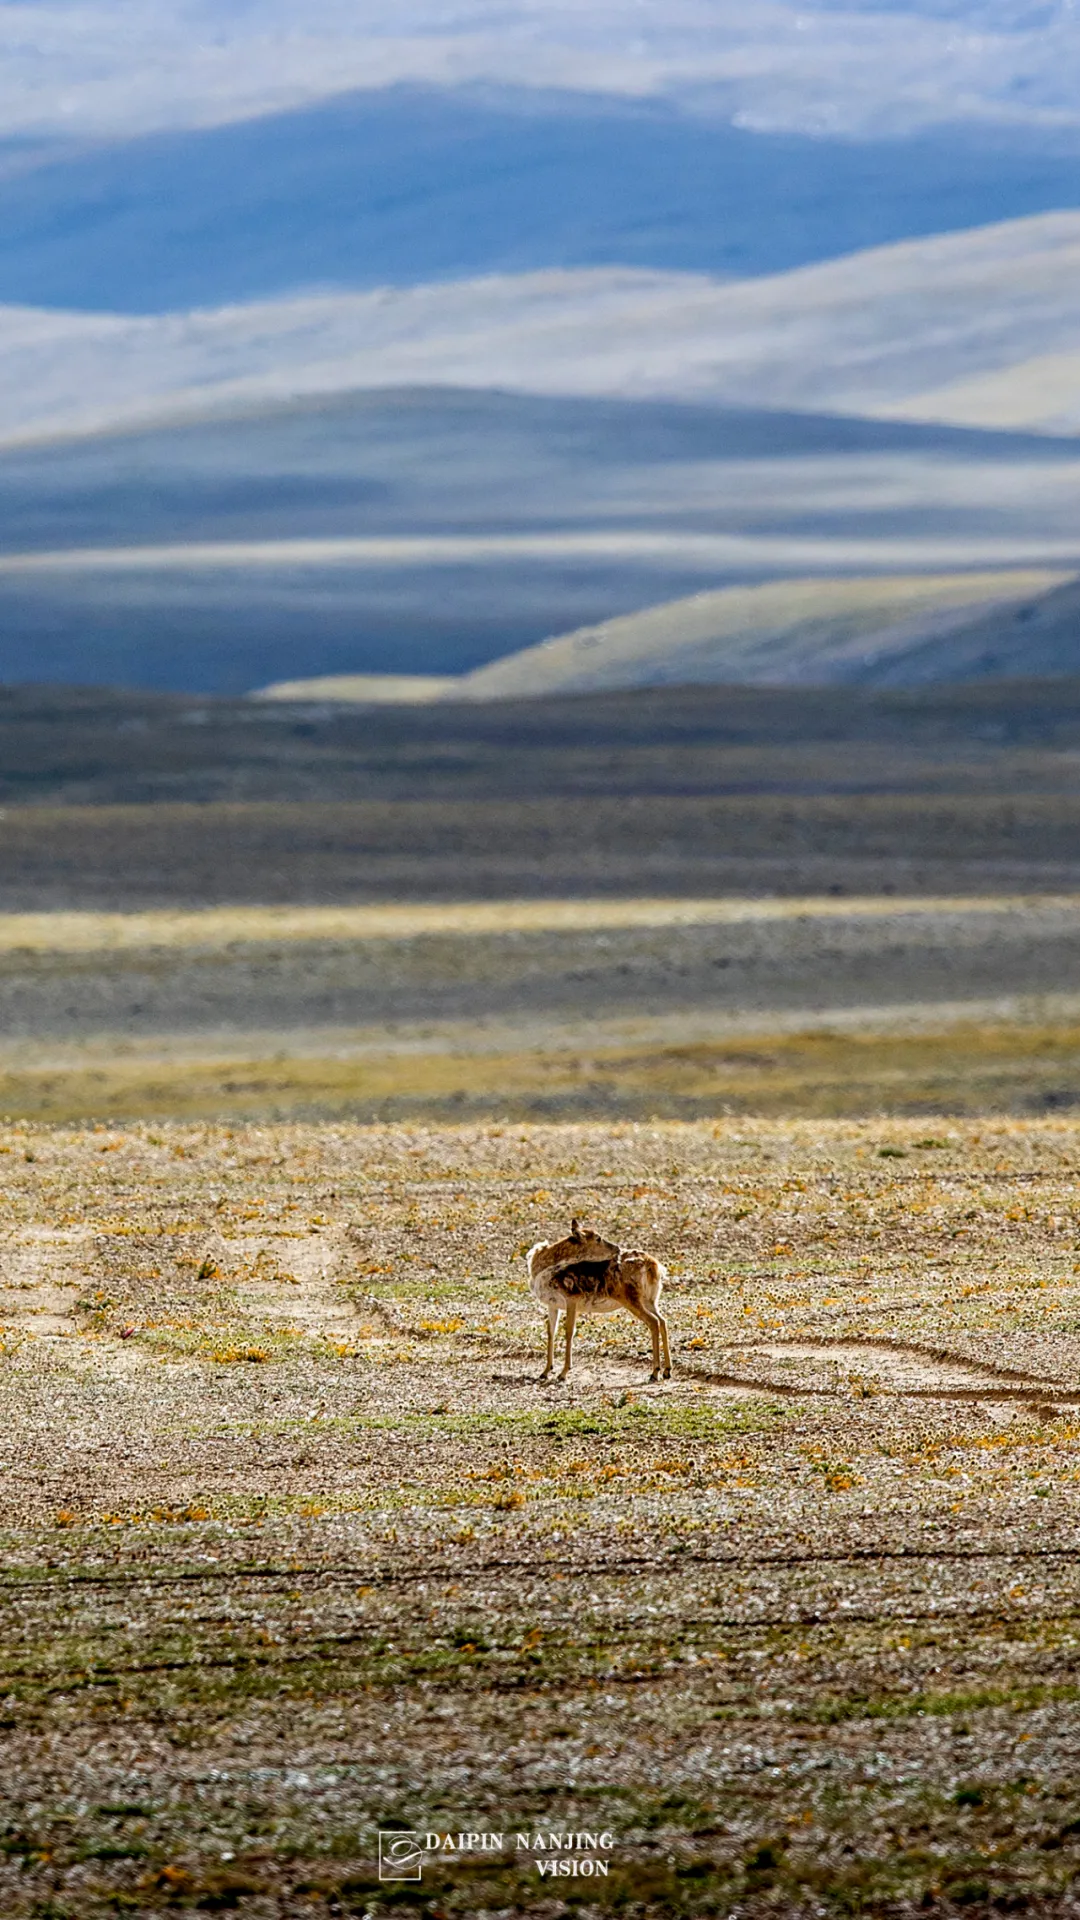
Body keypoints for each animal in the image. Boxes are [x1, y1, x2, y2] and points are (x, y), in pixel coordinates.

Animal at [526, 1213, 668, 1382]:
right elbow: (551, 1332)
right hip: (650, 1298)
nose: (617, 1248)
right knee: (662, 1320)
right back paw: (667, 1370)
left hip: (630, 1297)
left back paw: (655, 1372)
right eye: (598, 1238)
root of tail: (654, 1266)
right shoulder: (552, 1304)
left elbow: (569, 1331)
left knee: (653, 1322)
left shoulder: (571, 1296)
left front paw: (563, 1373)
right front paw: (545, 1371)